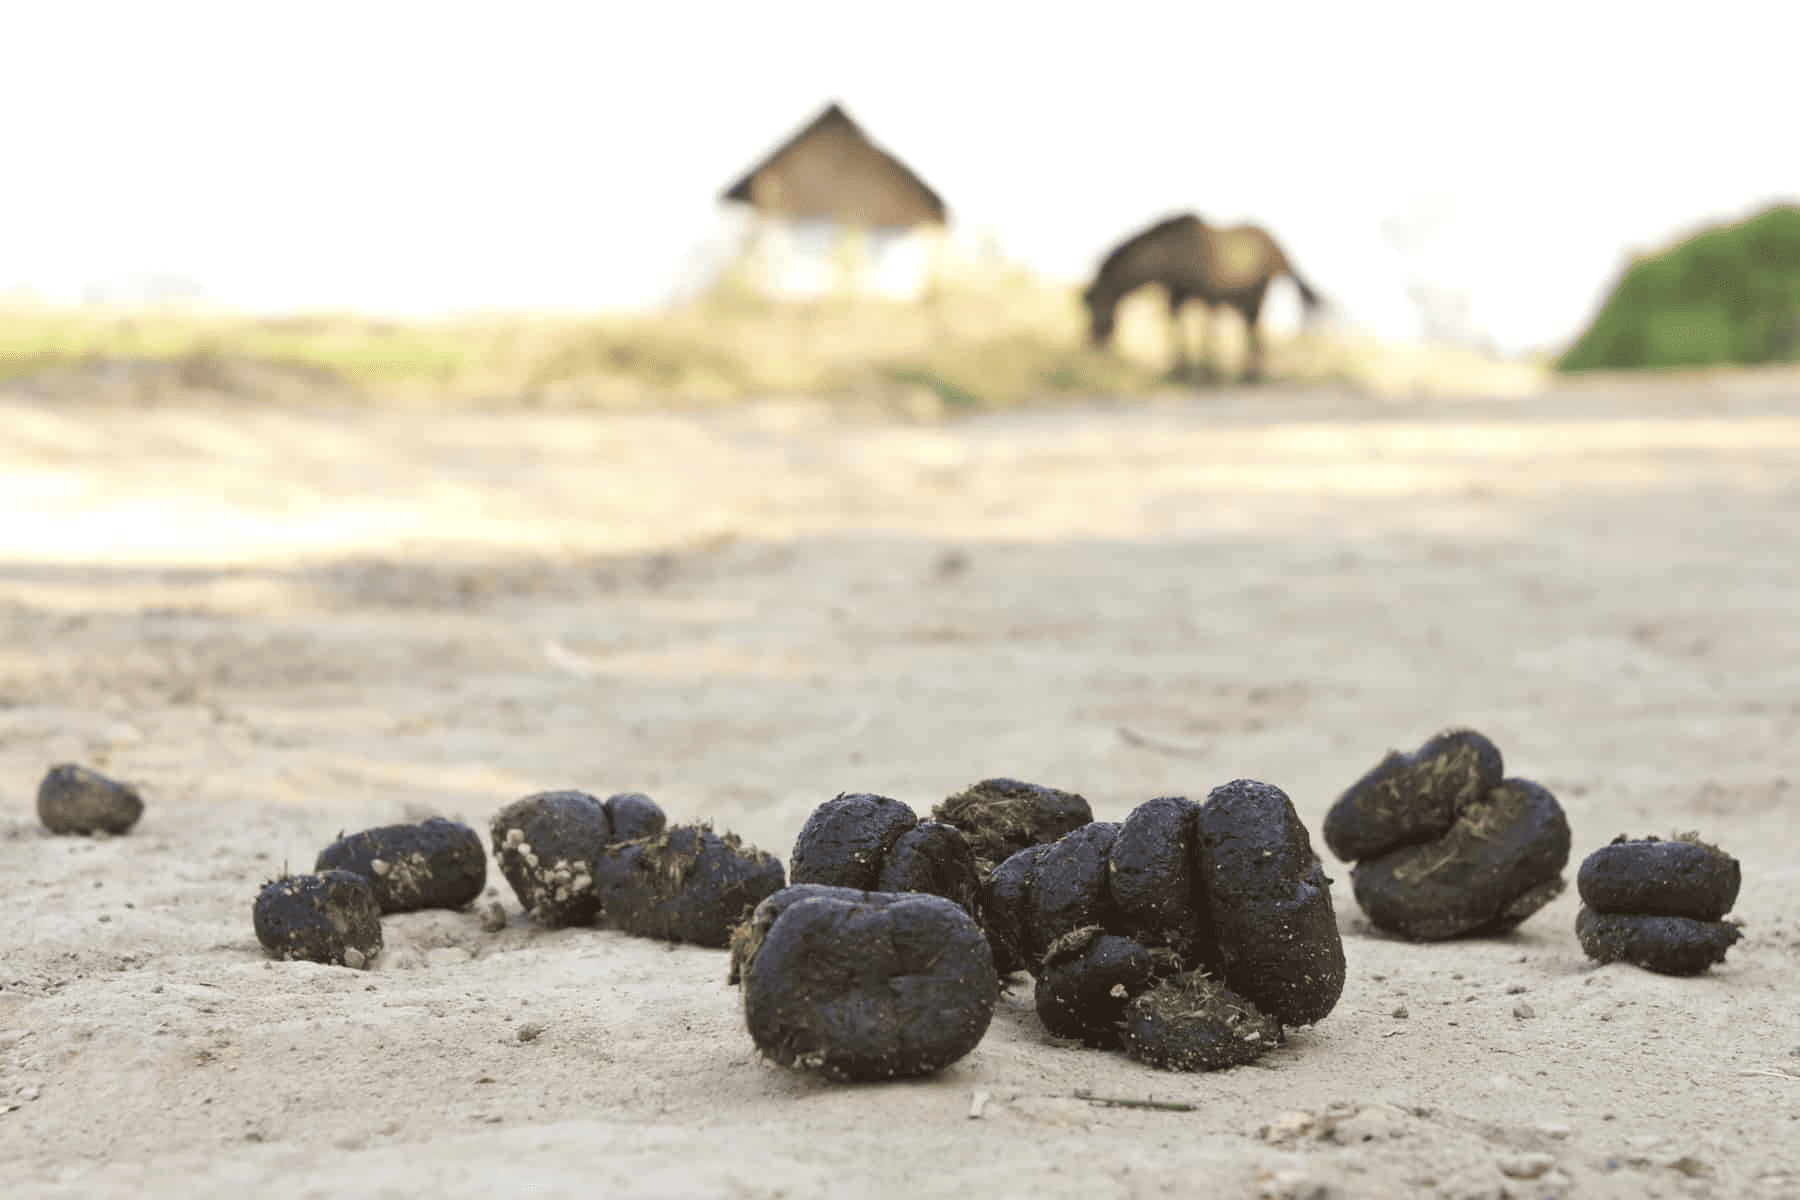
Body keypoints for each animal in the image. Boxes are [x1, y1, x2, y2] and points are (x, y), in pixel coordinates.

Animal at [1082, 212, 1323, 383]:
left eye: (1094, 304)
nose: (1093, 341)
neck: (1167, 255)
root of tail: (1278, 248)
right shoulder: (1177, 296)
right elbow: (1180, 329)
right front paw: (1179, 371)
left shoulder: (1203, 295)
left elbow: (1202, 332)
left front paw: (1202, 374)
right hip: (1243, 302)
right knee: (1250, 333)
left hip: (1256, 298)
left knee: (1255, 335)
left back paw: (1251, 376)